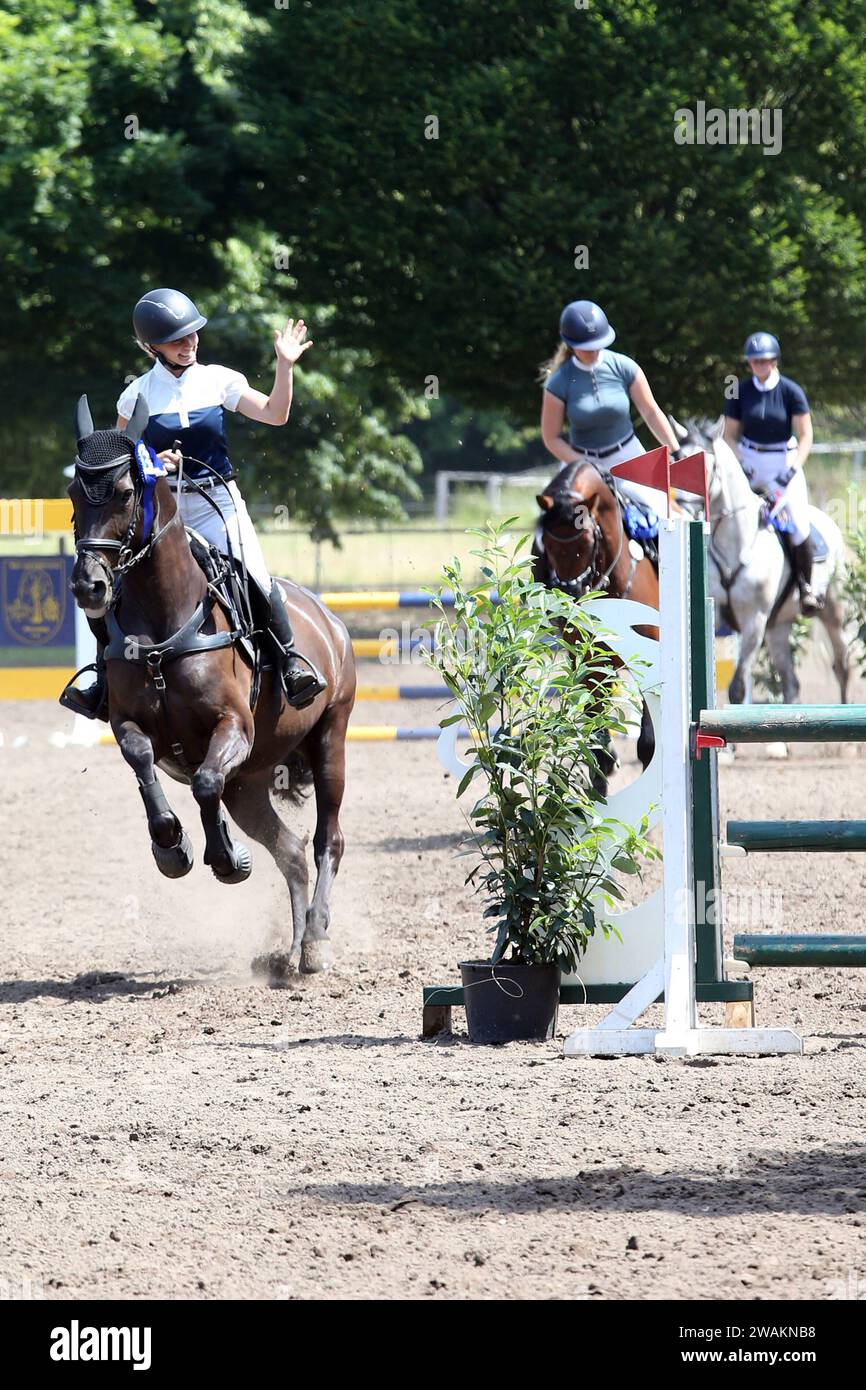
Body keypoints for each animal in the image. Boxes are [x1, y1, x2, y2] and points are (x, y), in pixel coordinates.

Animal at [64, 391, 355, 978]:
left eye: (126, 493)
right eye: (72, 494)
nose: (90, 586)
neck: (164, 617)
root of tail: (330, 620)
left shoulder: (232, 727)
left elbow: (203, 784)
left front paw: (226, 860)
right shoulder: (130, 724)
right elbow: (143, 761)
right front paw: (171, 850)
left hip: (330, 739)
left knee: (326, 840)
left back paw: (315, 943)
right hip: (251, 782)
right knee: (289, 851)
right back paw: (290, 950)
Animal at [530, 464, 661, 772]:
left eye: (589, 539)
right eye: (546, 543)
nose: (571, 595)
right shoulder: (588, 655)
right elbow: (594, 709)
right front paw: (602, 760)